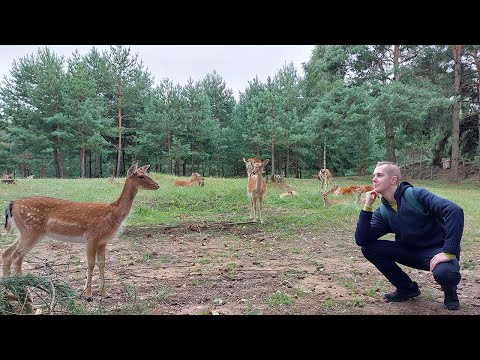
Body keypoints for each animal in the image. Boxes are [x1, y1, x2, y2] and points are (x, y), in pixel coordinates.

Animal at [2, 163, 159, 300]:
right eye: (141, 176)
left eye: (147, 173)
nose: (157, 185)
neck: (112, 214)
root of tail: (12, 204)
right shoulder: (92, 237)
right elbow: (91, 264)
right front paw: (88, 295)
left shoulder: (103, 242)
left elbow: (102, 264)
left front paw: (105, 293)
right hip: (31, 230)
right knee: (17, 256)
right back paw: (25, 294)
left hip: (25, 231)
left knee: (7, 253)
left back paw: (9, 291)